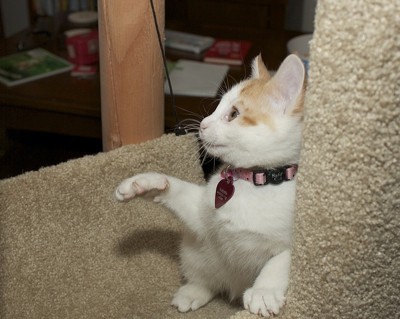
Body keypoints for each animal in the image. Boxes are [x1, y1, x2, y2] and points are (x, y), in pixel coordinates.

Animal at [115, 55, 306, 318]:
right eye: (218, 106)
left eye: (234, 113)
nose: (203, 124)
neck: (253, 181)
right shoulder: (203, 212)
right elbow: (180, 192)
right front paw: (146, 183)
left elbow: (282, 259)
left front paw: (264, 291)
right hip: (196, 251)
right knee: (209, 279)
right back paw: (194, 291)